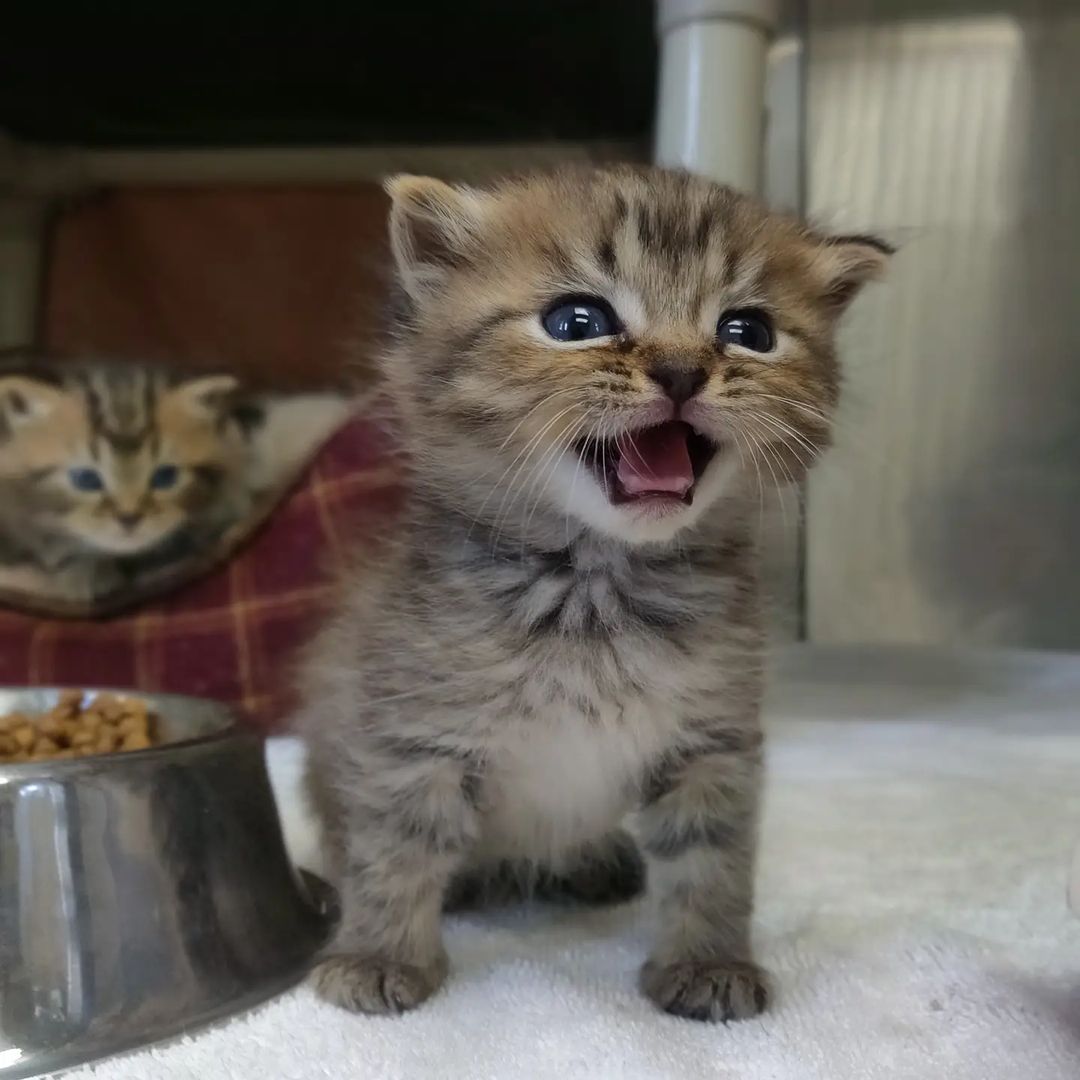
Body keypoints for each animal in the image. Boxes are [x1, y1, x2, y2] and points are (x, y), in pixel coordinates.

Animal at [295, 166, 885, 1019]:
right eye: (578, 322)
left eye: (748, 331)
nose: (680, 371)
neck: (595, 587)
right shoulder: (411, 734)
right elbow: (395, 850)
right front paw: (378, 956)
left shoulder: (712, 739)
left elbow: (712, 861)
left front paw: (708, 962)